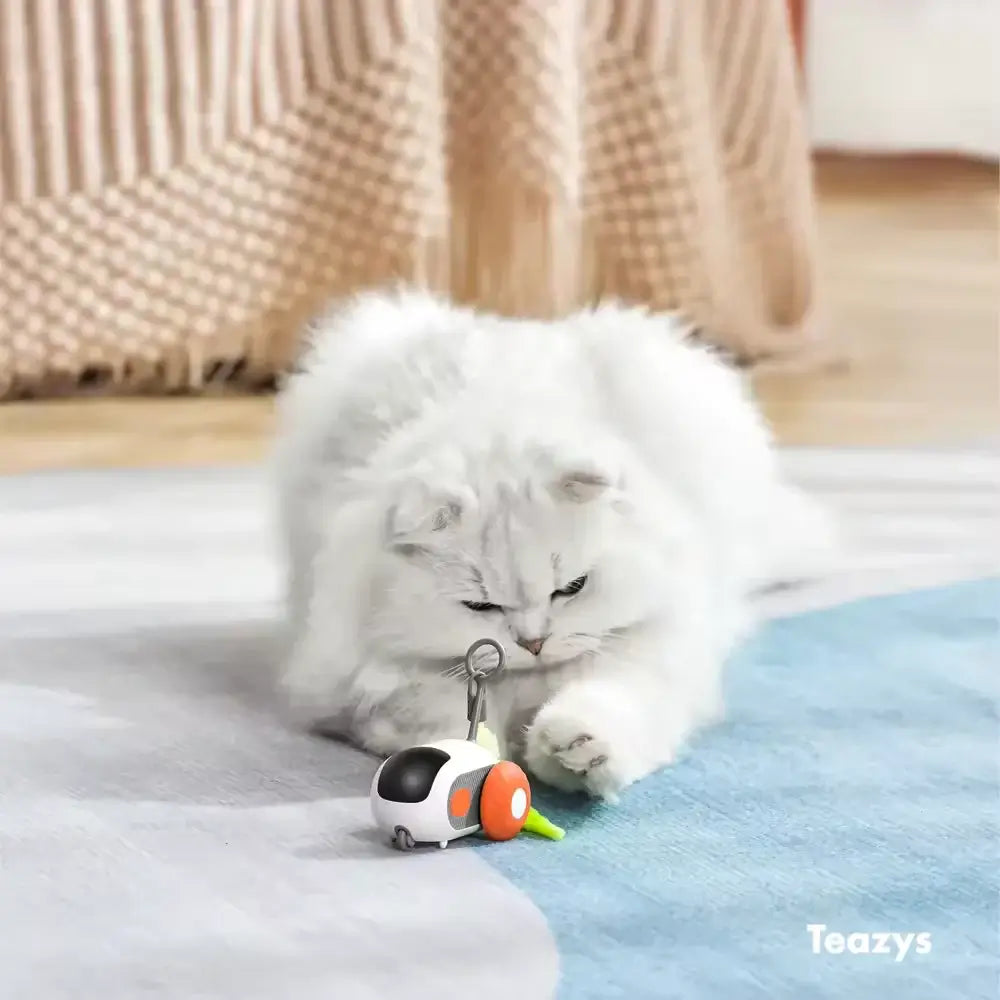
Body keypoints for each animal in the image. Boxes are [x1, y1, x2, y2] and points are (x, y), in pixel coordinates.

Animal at [270, 290, 832, 796]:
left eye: (572, 588)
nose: (533, 644)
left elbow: (609, 702)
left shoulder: (653, 654)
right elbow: (437, 714)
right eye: (481, 606)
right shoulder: (364, 684)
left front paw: (574, 750)